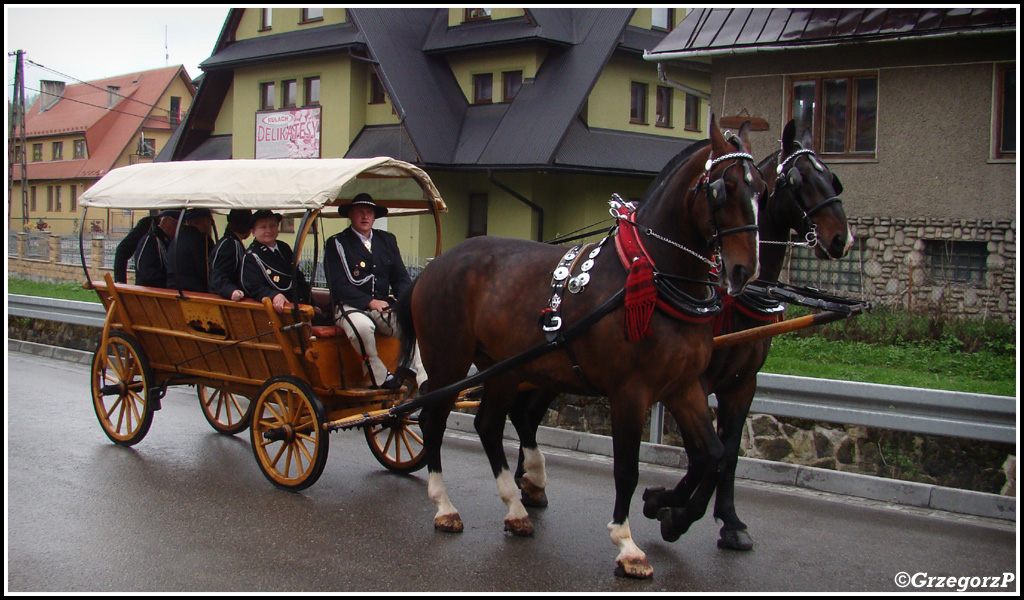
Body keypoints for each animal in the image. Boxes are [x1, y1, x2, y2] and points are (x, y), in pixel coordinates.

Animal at [395, 114, 765, 577]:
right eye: (721, 188)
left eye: (760, 188)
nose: (744, 269)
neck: (650, 275)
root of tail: (431, 268)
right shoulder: (630, 392)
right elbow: (627, 469)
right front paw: (626, 543)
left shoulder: (682, 387)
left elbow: (713, 456)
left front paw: (672, 514)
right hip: (448, 361)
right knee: (431, 421)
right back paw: (445, 506)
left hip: (504, 367)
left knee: (488, 425)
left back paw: (516, 509)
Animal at [507, 120, 851, 552]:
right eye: (797, 180)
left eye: (832, 178)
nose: (841, 238)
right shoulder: (690, 383)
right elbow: (698, 454)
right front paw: (667, 506)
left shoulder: (741, 384)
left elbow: (726, 453)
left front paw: (727, 520)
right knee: (521, 413)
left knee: (526, 414)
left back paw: (530, 485)